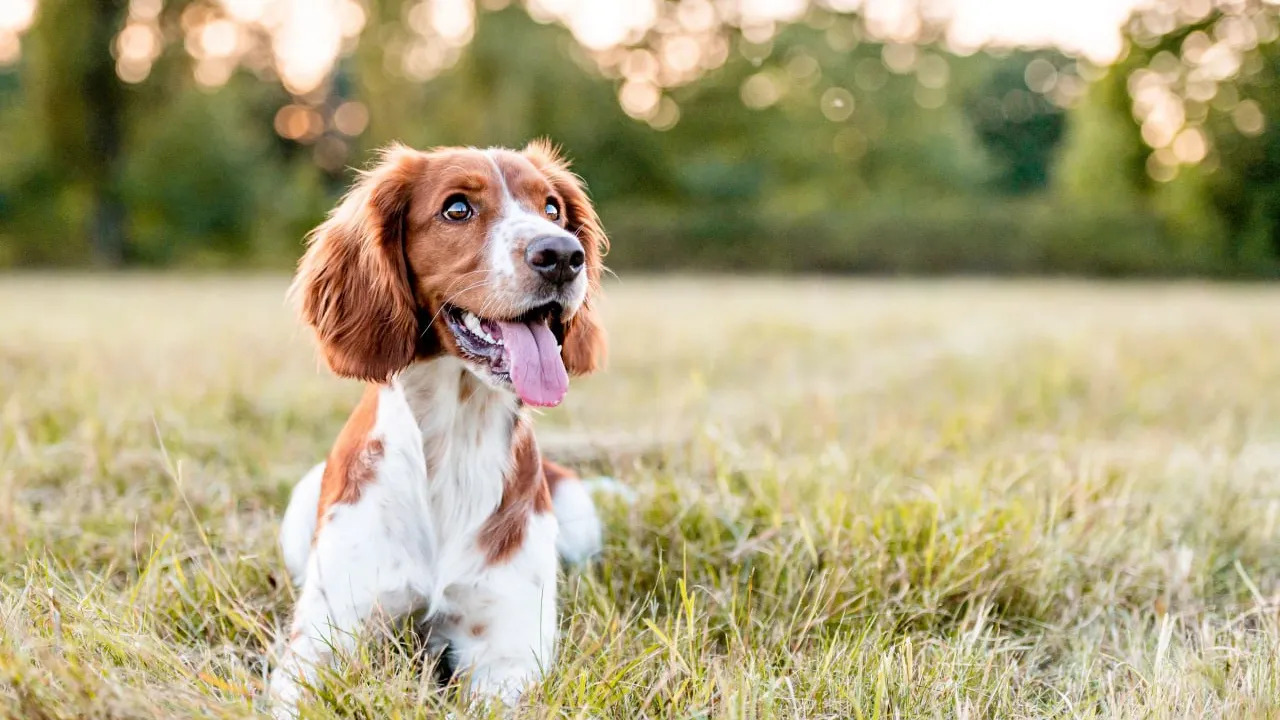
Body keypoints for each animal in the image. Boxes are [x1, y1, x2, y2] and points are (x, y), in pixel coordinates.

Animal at [270, 140, 609, 712]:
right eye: (457, 209)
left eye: (552, 209)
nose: (562, 255)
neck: (455, 439)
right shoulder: (321, 640)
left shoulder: (507, 653)